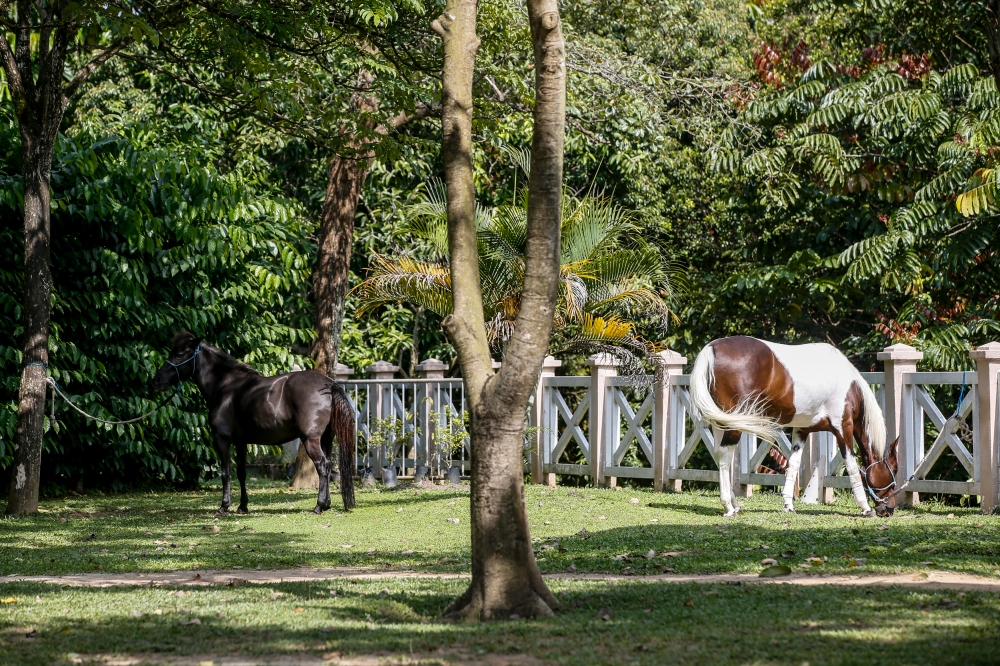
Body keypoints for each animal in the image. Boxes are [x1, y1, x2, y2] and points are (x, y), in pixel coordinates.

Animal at [152, 331, 356, 515]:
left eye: (179, 354)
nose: (157, 380)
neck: (225, 386)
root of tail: (329, 384)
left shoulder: (222, 439)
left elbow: (225, 473)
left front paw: (224, 506)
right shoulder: (241, 442)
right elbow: (241, 473)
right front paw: (243, 506)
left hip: (311, 439)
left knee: (322, 466)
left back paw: (319, 506)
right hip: (325, 439)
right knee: (328, 465)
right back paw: (326, 504)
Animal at [689, 336, 899, 518]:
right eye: (895, 469)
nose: (889, 509)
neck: (849, 385)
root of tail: (713, 347)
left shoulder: (801, 431)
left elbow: (793, 465)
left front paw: (788, 505)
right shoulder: (843, 429)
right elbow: (852, 466)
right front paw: (865, 508)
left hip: (722, 423)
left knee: (718, 455)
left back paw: (734, 504)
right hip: (733, 424)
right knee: (724, 457)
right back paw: (728, 506)